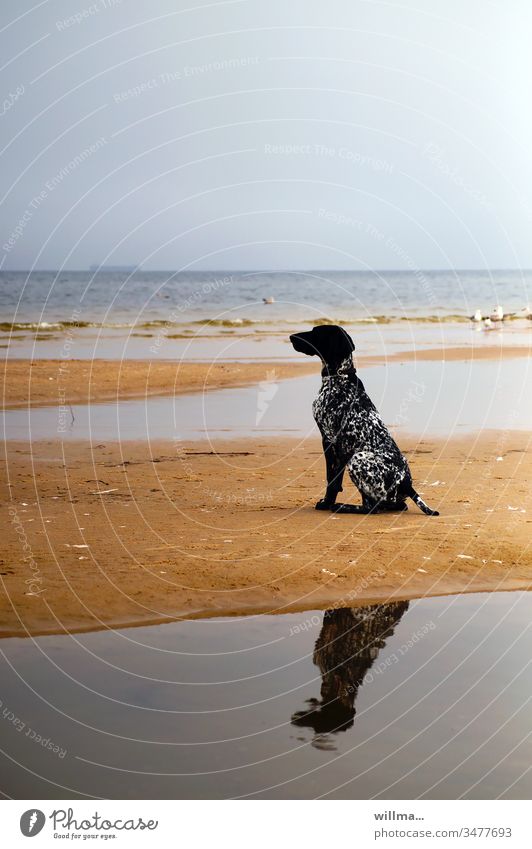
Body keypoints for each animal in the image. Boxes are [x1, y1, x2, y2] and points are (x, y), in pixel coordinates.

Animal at [288, 322, 438, 516]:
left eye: (315, 332)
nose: (291, 337)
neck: (340, 376)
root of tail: (405, 482)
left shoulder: (330, 440)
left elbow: (332, 481)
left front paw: (327, 503)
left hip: (357, 459)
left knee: (371, 507)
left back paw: (341, 507)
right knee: (395, 505)